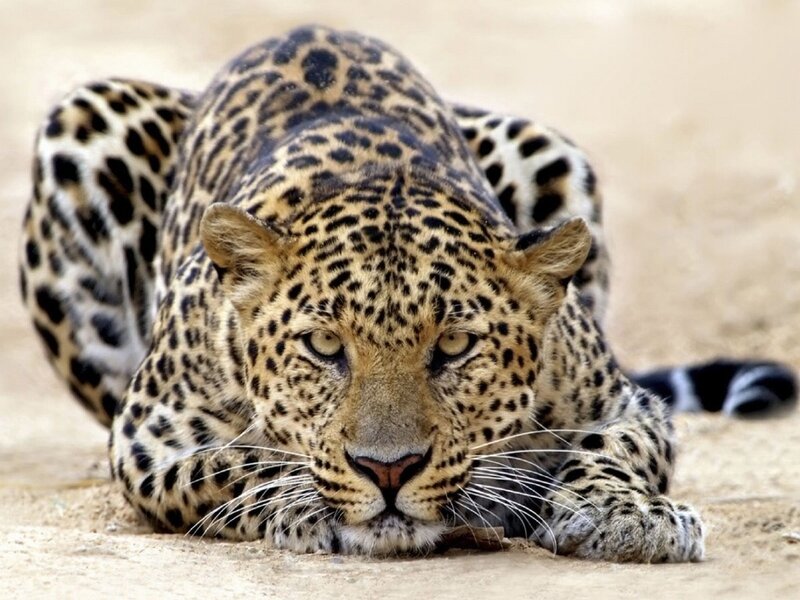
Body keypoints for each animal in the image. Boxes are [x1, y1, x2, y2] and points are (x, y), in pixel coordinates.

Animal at [19, 25, 797, 561]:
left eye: (453, 347)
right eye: (323, 346)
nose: (387, 470)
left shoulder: (624, 402)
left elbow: (612, 448)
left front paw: (627, 515)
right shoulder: (149, 435)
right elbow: (236, 463)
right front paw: (305, 502)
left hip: (545, 145)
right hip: (82, 122)